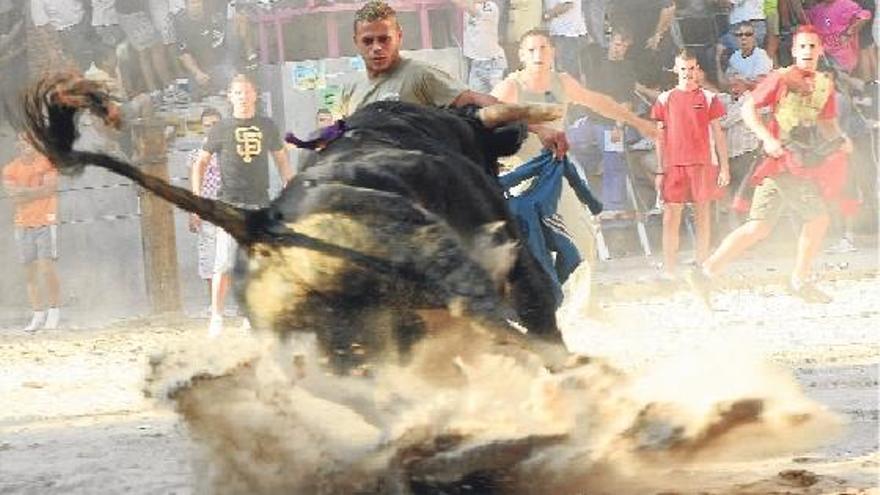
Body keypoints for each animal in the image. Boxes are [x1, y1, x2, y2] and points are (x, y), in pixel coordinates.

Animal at [24, 76, 568, 372]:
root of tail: (261, 222)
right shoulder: (514, 253)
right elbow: (541, 307)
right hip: (451, 276)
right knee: (512, 330)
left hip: (337, 344)